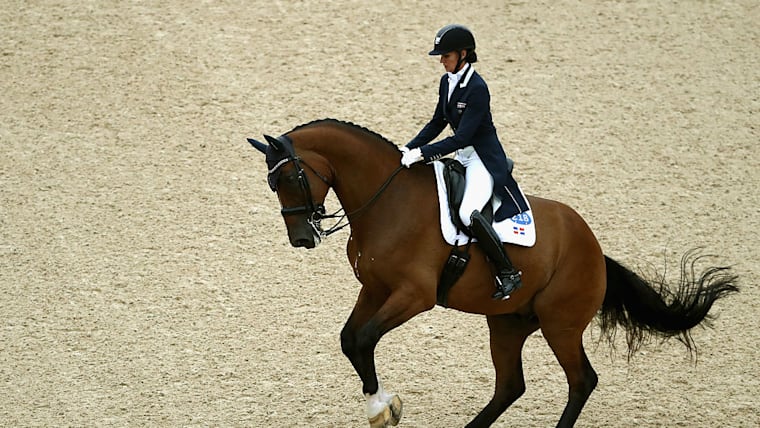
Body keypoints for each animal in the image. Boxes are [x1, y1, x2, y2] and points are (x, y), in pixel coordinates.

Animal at [246, 118, 738, 428]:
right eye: (273, 184)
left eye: (289, 178)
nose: (302, 238)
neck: (387, 200)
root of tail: (595, 250)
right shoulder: (375, 288)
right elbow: (351, 340)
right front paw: (381, 407)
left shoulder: (414, 295)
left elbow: (365, 339)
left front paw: (384, 409)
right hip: (507, 324)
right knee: (510, 386)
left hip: (560, 325)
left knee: (581, 381)